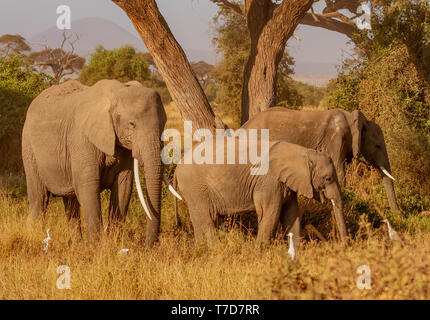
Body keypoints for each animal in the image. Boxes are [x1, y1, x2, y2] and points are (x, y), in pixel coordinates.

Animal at [22, 79, 180, 245]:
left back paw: (76, 243)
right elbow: (88, 186)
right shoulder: (81, 140)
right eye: (132, 124)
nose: (147, 246)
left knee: (70, 202)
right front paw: (95, 246)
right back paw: (33, 237)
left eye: (164, 124)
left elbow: (123, 187)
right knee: (39, 198)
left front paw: (114, 243)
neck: (117, 93)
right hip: (29, 149)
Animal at [175, 138, 346, 248]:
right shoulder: (269, 182)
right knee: (208, 218)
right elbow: (270, 214)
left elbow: (291, 214)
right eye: (328, 178)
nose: (344, 246)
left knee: (199, 220)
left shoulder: (285, 184)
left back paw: (201, 250)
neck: (302, 153)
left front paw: (297, 252)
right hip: (196, 188)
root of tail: (178, 166)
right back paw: (215, 250)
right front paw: (259, 252)